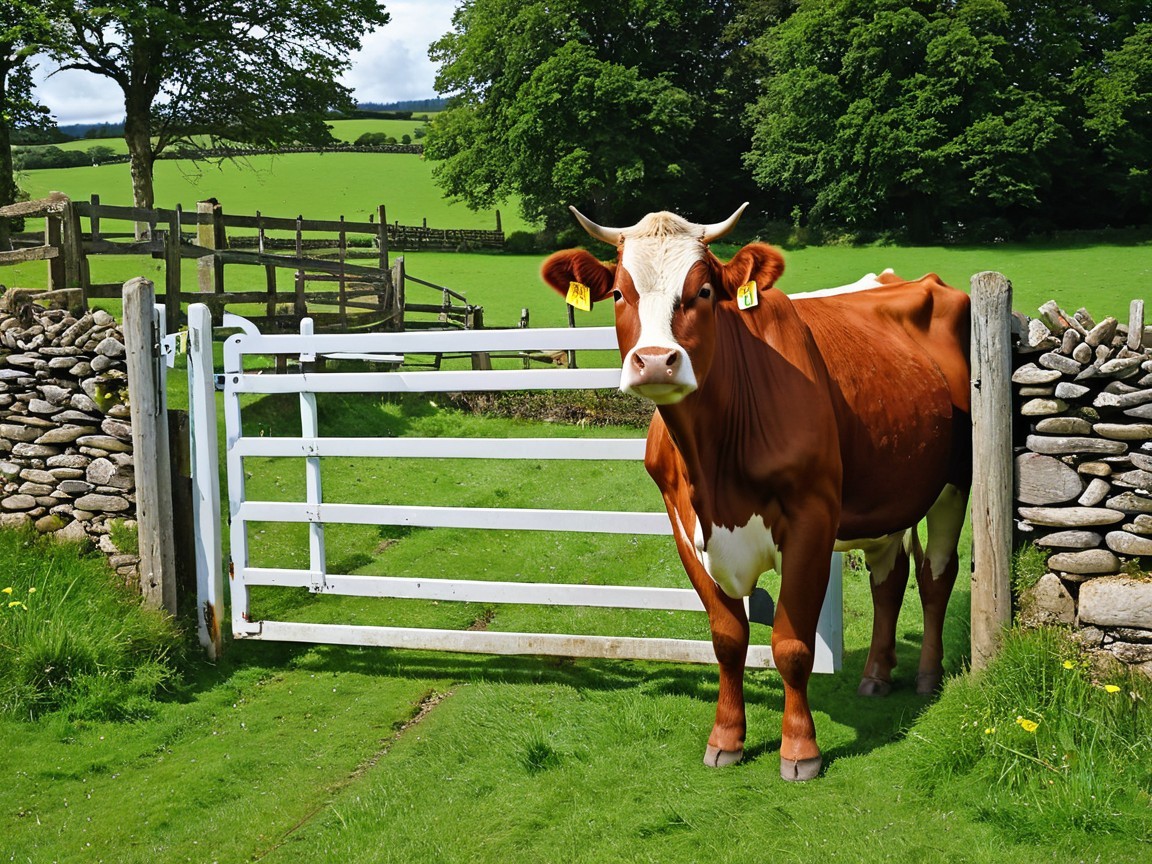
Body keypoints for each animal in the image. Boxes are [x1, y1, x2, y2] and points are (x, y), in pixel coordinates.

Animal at [540, 205, 971, 781]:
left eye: (703, 291)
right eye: (618, 294)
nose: (654, 360)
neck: (712, 466)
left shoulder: (812, 519)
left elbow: (790, 644)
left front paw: (800, 750)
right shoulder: (684, 524)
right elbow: (727, 639)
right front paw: (726, 739)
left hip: (954, 483)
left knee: (936, 574)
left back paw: (927, 674)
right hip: (889, 488)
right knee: (890, 575)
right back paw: (876, 675)